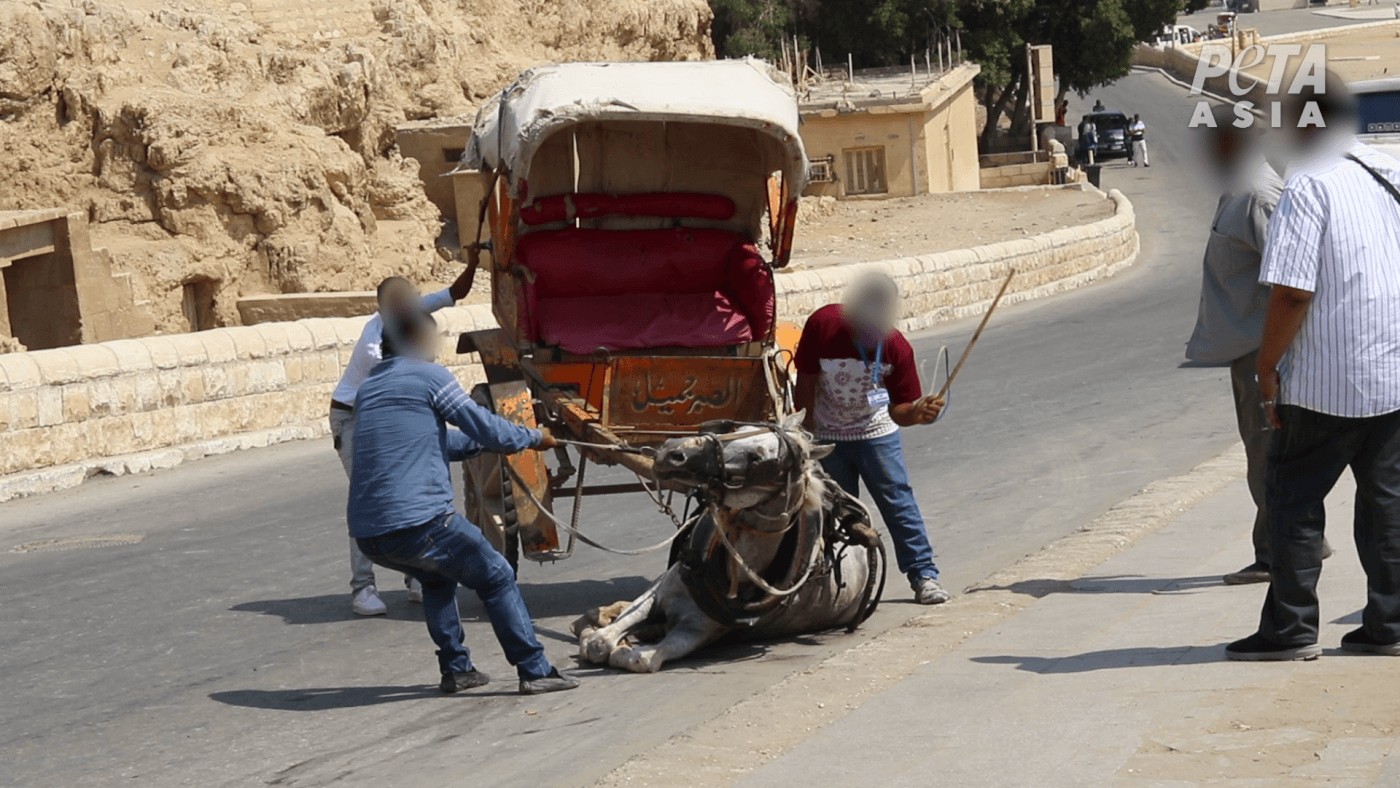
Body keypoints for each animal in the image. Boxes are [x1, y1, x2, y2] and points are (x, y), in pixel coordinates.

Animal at [571, 411, 884, 674]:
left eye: (757, 456)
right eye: (736, 430)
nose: (672, 452)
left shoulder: (698, 631)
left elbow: (638, 658)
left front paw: (629, 646)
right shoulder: (659, 592)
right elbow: (601, 640)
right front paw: (607, 632)